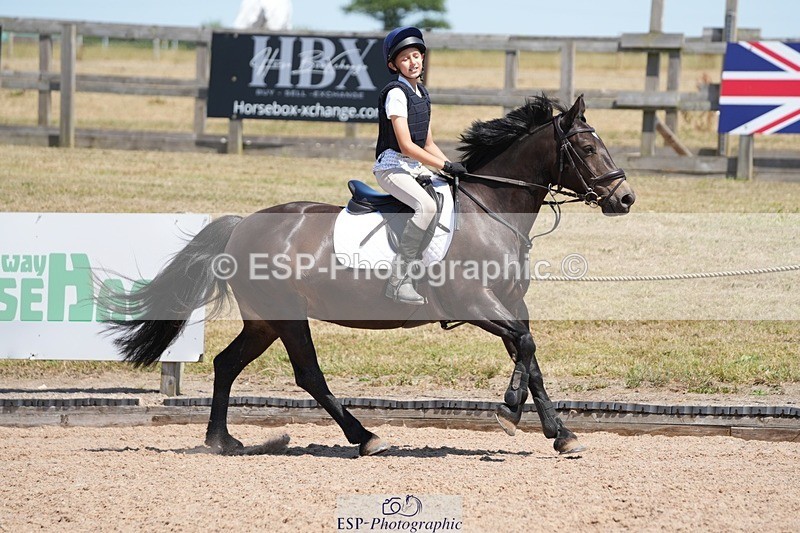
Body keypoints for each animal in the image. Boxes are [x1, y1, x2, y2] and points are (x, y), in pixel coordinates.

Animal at [104, 95, 635, 456]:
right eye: (587, 147)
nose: (625, 199)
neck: (493, 210)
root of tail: (242, 225)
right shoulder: (475, 303)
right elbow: (525, 346)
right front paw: (507, 410)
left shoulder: (509, 304)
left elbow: (531, 355)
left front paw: (561, 434)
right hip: (287, 316)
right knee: (308, 375)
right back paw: (366, 437)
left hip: (264, 320)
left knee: (226, 364)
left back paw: (222, 440)